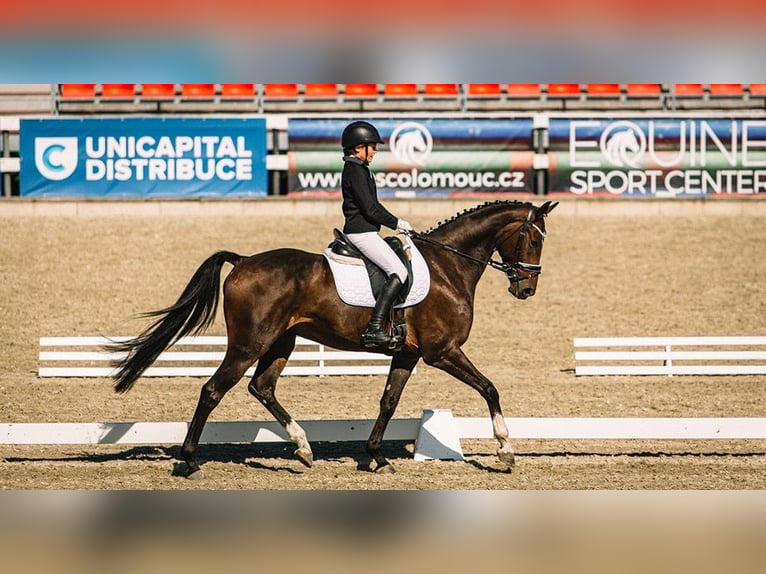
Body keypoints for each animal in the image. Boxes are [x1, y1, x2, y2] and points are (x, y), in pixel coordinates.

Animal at [111, 200, 560, 480]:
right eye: (534, 239)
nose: (526, 289)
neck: (448, 265)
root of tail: (243, 261)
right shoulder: (442, 351)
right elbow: (489, 387)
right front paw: (505, 450)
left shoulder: (409, 355)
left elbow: (388, 402)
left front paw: (376, 457)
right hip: (248, 345)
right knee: (212, 390)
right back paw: (189, 463)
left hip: (281, 342)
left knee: (262, 387)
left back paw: (303, 448)